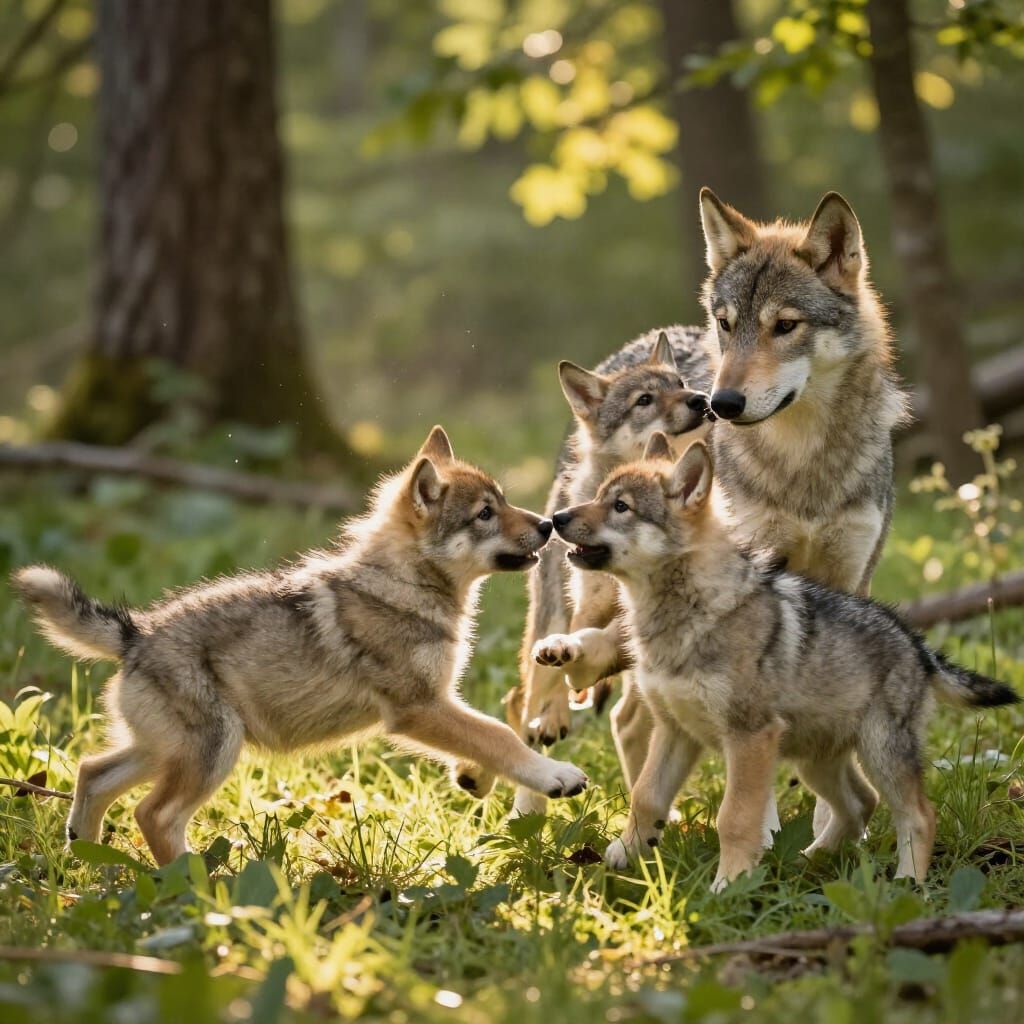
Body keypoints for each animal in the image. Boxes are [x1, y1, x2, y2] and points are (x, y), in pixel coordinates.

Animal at [13, 427, 587, 865]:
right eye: (485, 514)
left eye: (504, 502)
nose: (547, 525)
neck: (403, 584)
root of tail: (136, 634)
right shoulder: (418, 708)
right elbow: (498, 734)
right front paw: (554, 777)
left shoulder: (438, 702)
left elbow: (489, 731)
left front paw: (473, 777)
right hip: (213, 751)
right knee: (152, 814)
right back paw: (195, 886)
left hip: (166, 749)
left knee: (92, 772)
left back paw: (90, 864)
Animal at [515, 189, 908, 836]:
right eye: (727, 325)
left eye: (785, 326)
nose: (717, 403)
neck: (802, 463)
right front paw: (768, 831)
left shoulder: (850, 580)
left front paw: (835, 829)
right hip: (583, 598)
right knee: (541, 686)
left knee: (629, 715)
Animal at [554, 434, 1016, 889]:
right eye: (597, 495)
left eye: (621, 507)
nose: (557, 517)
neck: (686, 614)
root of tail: (915, 642)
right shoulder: (675, 730)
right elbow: (646, 796)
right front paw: (627, 849)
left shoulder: (750, 737)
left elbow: (735, 818)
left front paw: (730, 883)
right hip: (814, 760)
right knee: (860, 803)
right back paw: (809, 860)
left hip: (879, 752)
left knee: (918, 815)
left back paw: (907, 884)